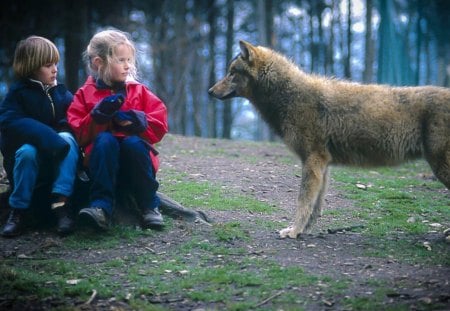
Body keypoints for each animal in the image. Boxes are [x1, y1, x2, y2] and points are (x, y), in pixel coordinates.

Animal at [208, 39, 450, 239]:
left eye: (231, 73)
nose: (209, 91)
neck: (289, 96)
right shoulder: (322, 165)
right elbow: (315, 207)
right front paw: (302, 231)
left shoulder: (313, 160)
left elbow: (303, 201)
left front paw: (293, 231)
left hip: (440, 167)